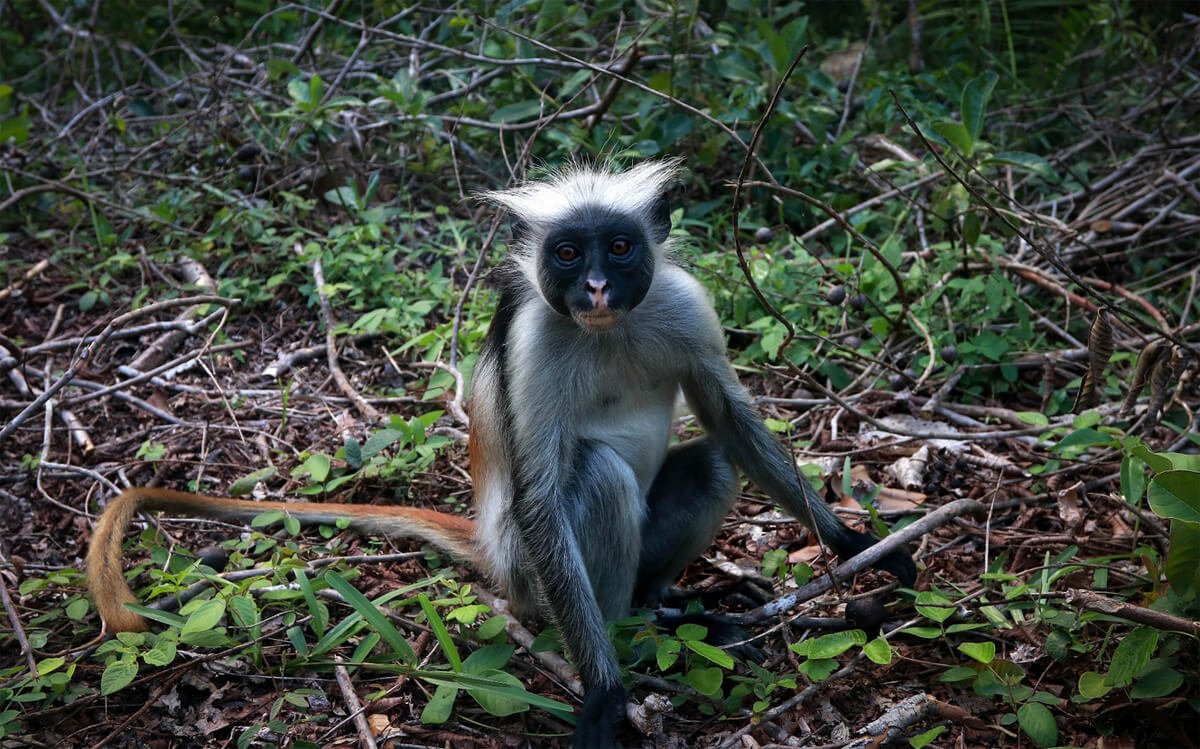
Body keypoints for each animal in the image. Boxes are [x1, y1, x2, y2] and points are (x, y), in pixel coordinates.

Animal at [88, 159, 916, 747]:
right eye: (568, 252)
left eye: (620, 247)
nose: (595, 285)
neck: (608, 331)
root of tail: (489, 547)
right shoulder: (538, 337)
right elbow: (544, 491)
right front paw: (605, 696)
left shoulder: (681, 303)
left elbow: (729, 418)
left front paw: (854, 542)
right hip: (529, 575)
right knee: (597, 479)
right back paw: (636, 632)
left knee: (712, 459)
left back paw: (668, 605)